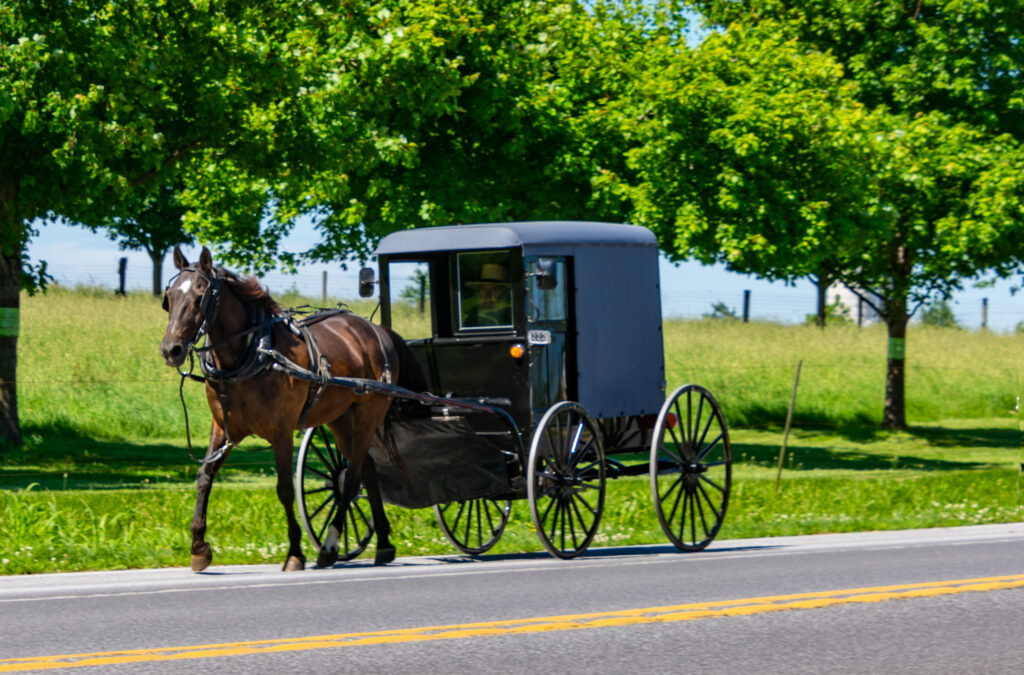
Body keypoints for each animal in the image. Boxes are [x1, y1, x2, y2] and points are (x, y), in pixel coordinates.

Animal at [157, 245, 409, 573]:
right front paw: (199, 546)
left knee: (352, 477)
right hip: (341, 417)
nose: (170, 349)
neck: (253, 352)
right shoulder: (224, 428)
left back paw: (330, 546)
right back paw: (384, 544)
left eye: (201, 295)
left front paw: (295, 553)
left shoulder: (281, 432)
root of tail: (377, 329)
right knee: (365, 467)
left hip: (369, 413)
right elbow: (204, 475)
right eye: (170, 296)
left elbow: (285, 489)